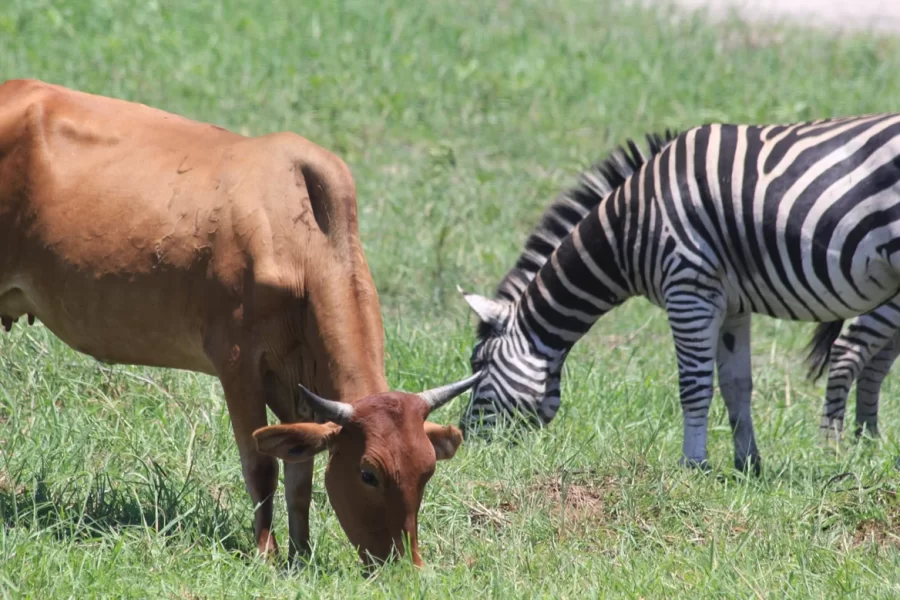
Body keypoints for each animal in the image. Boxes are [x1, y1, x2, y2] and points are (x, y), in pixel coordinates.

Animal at [0, 79, 478, 566]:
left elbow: (299, 473)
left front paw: (301, 553)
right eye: (368, 473)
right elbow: (261, 464)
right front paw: (266, 553)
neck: (302, 245)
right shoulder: (238, 362)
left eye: (427, 470)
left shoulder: (295, 385)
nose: (404, 566)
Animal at [459, 115, 900, 474]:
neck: (628, 228)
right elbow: (737, 384)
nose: (462, 440)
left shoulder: (689, 287)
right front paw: (747, 465)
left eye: (478, 365)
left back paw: (835, 448)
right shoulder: (732, 305)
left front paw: (694, 464)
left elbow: (694, 383)